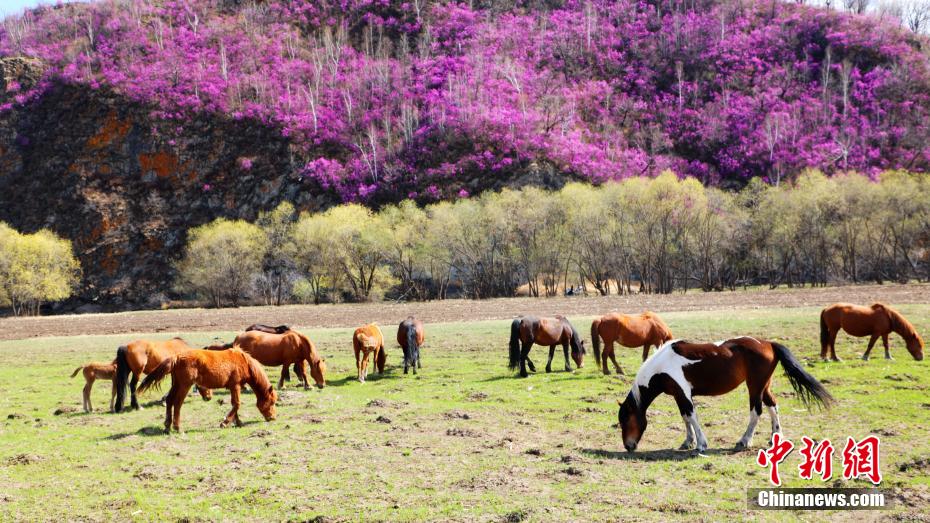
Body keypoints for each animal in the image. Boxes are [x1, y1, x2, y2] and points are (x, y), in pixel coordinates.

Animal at [136, 348, 278, 434]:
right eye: (272, 402)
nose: (273, 418)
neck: (244, 362)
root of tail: (177, 357)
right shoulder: (235, 386)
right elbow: (236, 404)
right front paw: (225, 423)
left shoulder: (233, 388)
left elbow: (235, 405)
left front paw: (237, 422)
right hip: (184, 385)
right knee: (177, 403)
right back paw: (178, 427)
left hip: (176, 384)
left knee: (170, 400)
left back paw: (167, 426)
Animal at [616, 340, 832, 454]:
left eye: (625, 420)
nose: (628, 446)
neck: (662, 365)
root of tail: (767, 344)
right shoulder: (678, 395)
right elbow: (685, 417)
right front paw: (688, 442)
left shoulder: (684, 393)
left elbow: (692, 416)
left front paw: (701, 445)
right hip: (764, 386)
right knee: (773, 406)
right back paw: (774, 438)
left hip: (755, 387)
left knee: (756, 412)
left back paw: (744, 441)